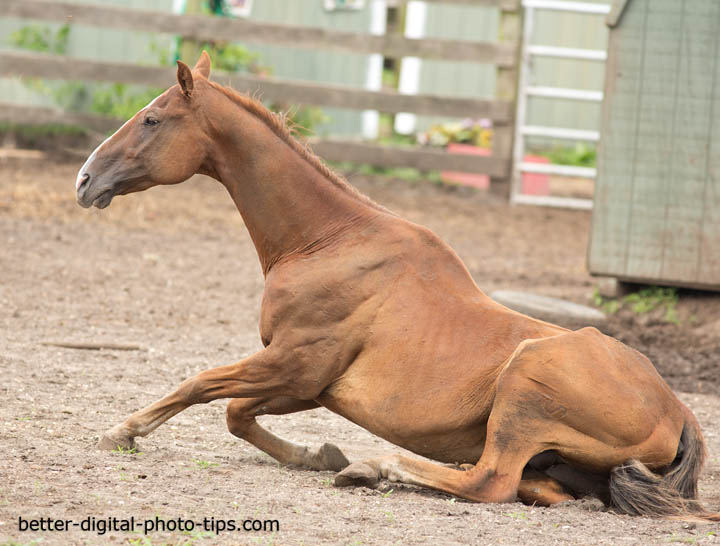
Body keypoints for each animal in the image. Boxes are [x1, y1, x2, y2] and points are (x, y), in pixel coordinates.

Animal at [76, 54, 716, 520]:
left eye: (152, 119)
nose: (85, 179)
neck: (329, 243)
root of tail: (679, 410)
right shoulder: (306, 383)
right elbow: (235, 412)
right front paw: (317, 452)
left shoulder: (292, 365)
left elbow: (200, 384)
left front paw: (121, 432)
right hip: (560, 458)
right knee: (540, 489)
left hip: (525, 388)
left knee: (491, 482)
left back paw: (376, 467)